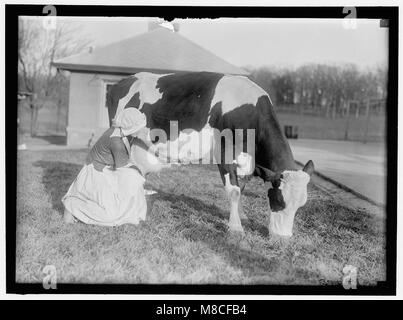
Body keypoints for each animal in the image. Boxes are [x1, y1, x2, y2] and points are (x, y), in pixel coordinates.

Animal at [108, 73, 316, 238]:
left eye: (301, 205)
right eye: (279, 200)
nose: (283, 238)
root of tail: (126, 80)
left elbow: (242, 187)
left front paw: (242, 217)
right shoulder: (224, 151)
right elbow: (234, 191)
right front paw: (235, 227)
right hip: (122, 136)